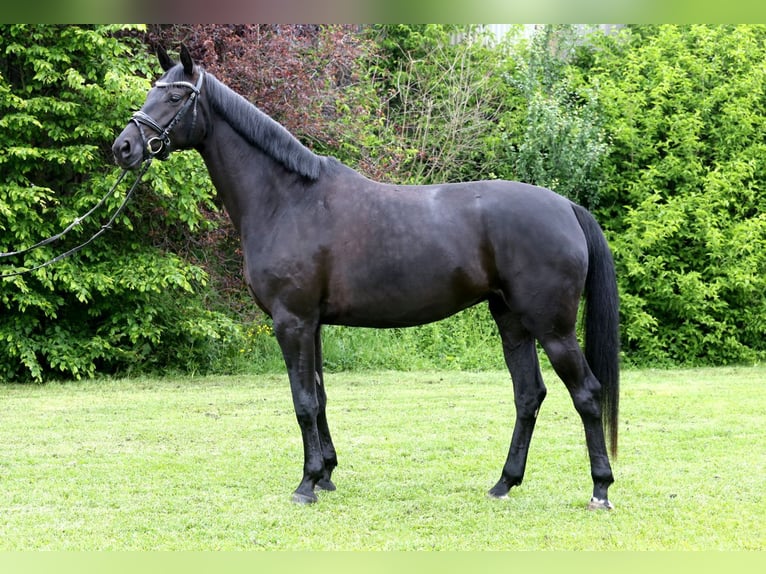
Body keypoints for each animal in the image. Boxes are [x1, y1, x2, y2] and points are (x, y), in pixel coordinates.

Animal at [112, 45, 620, 510]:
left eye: (176, 95)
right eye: (153, 90)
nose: (124, 147)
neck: (287, 200)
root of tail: (566, 207)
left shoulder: (292, 321)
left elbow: (302, 402)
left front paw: (306, 484)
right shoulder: (312, 324)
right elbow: (318, 397)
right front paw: (325, 474)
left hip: (552, 328)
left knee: (587, 394)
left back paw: (600, 489)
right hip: (512, 321)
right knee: (528, 395)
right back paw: (504, 483)